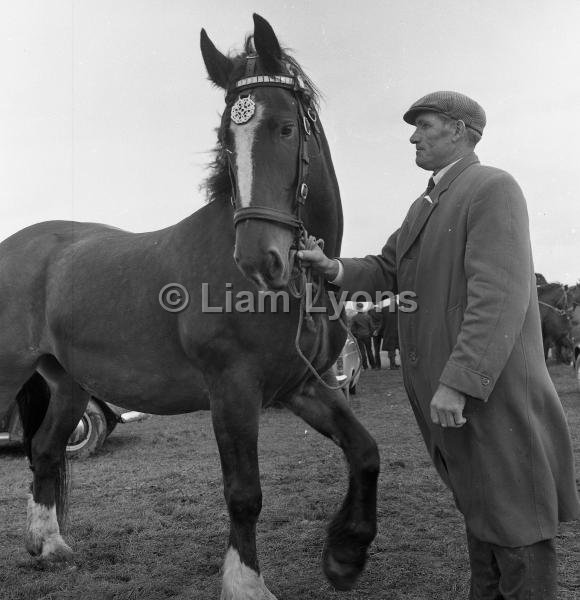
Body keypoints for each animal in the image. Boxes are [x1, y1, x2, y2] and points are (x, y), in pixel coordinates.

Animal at [0, 15, 378, 600]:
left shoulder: (304, 384)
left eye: (286, 128)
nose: (259, 259)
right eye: (227, 138)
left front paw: (344, 555)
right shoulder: (233, 388)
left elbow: (365, 453)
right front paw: (246, 584)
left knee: (43, 450)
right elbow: (244, 492)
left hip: (68, 383)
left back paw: (51, 546)